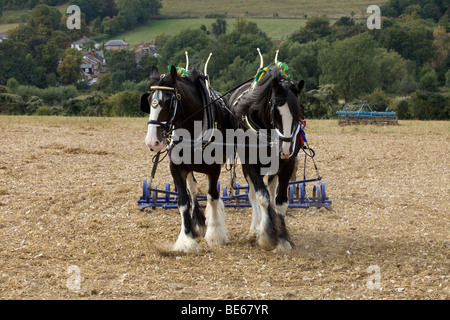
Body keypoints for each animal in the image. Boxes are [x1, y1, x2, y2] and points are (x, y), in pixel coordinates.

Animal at [140, 63, 232, 251]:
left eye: (168, 101)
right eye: (149, 101)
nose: (152, 141)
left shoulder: (214, 168)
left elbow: (213, 196)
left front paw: (215, 234)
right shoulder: (177, 167)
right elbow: (183, 200)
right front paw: (187, 238)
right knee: (193, 189)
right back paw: (198, 221)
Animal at [229, 66, 306, 252]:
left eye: (299, 111)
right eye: (275, 111)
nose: (285, 149)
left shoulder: (287, 165)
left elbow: (280, 201)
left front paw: (282, 237)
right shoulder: (251, 165)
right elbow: (261, 197)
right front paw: (266, 235)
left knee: (271, 191)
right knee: (253, 195)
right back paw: (255, 229)